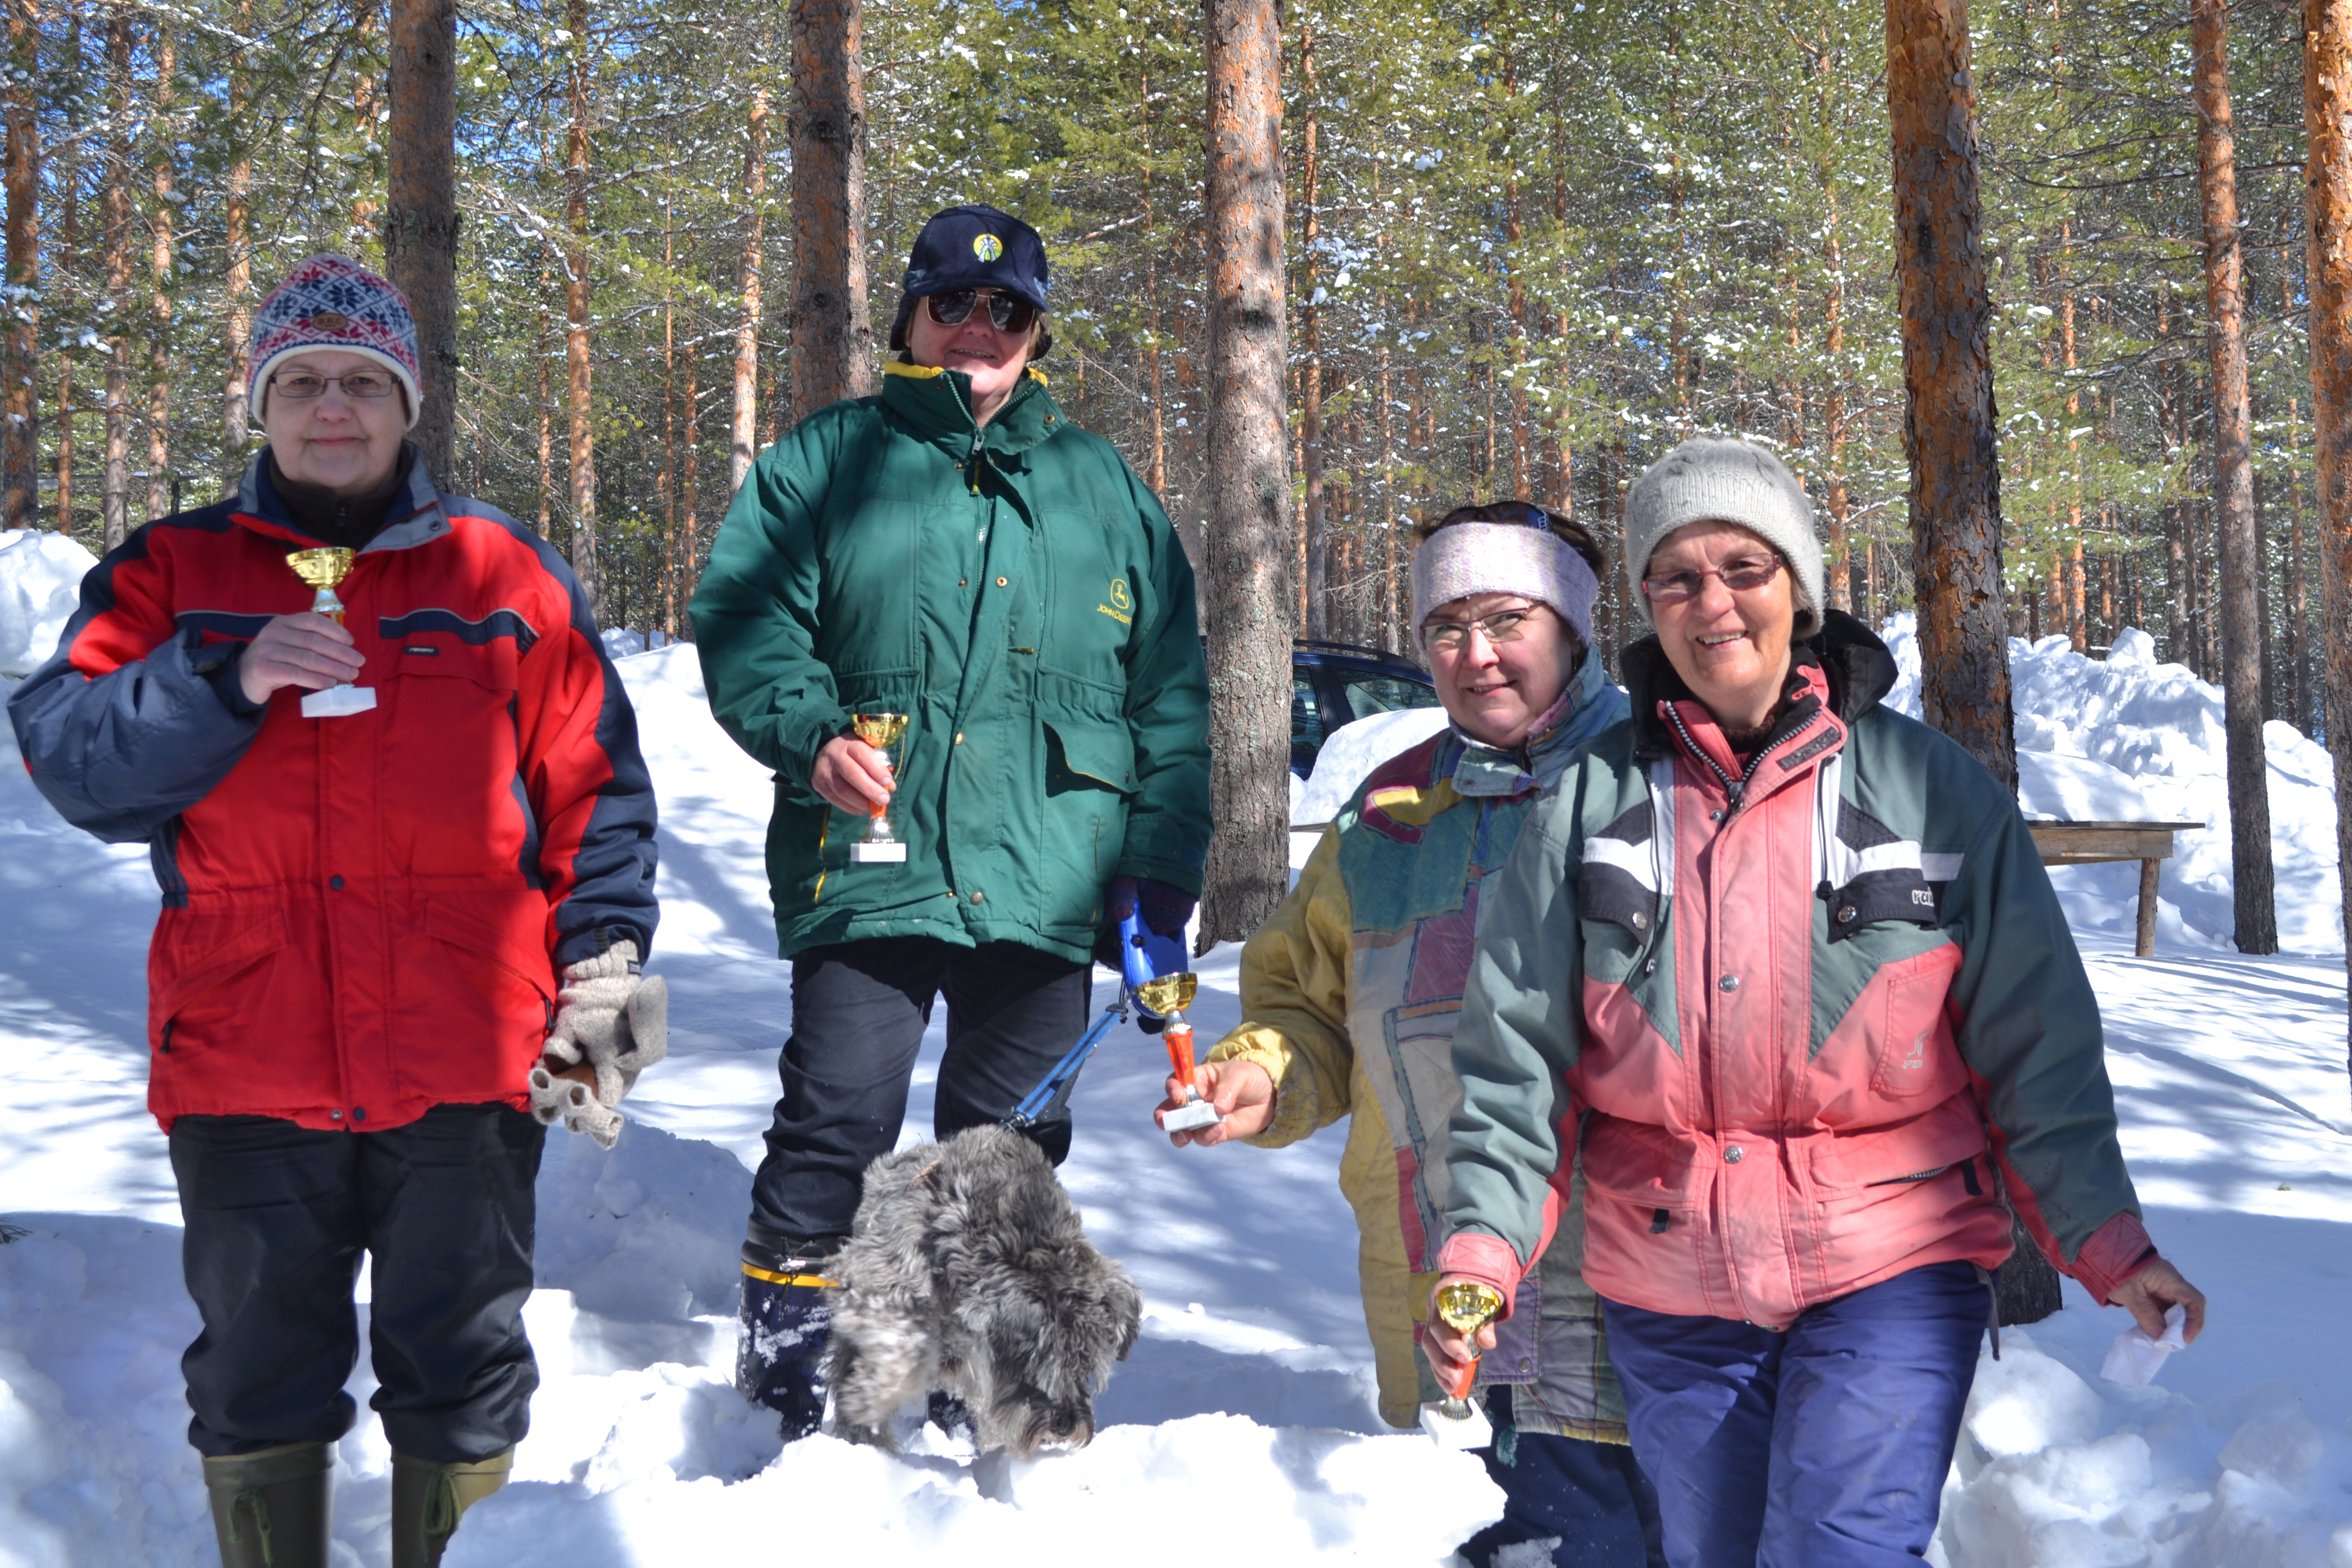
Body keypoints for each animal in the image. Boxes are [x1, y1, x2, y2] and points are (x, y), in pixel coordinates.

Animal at [823, 1123, 1143, 1457]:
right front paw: (871, 1398)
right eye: (1037, 1363)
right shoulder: (876, 1278)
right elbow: (902, 1346)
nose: (1065, 1427)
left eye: (1086, 1367)